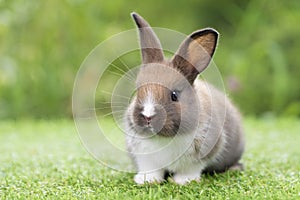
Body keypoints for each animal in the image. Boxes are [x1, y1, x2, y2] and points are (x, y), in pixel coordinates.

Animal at [124, 12, 244, 184]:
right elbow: (151, 168)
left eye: (174, 95)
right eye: (138, 90)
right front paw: (146, 180)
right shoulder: (144, 156)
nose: (148, 116)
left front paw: (182, 181)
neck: (164, 138)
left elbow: (191, 169)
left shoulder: (204, 152)